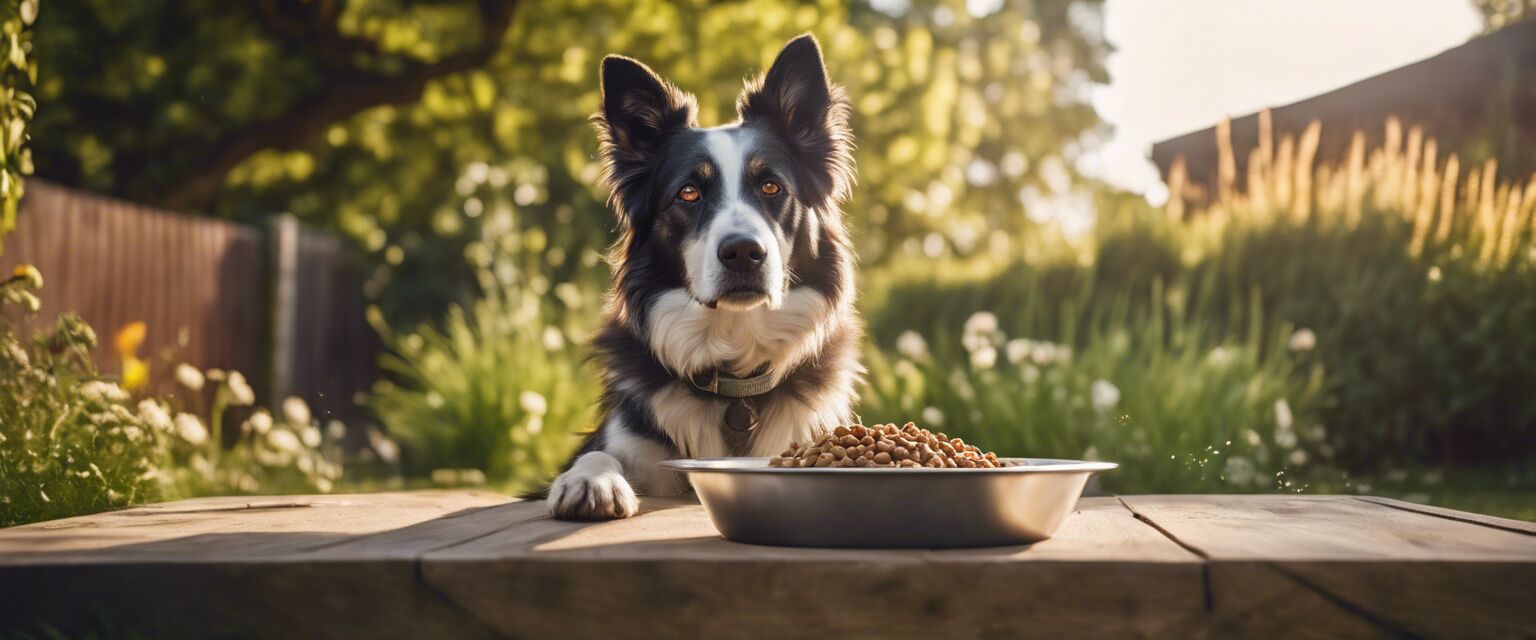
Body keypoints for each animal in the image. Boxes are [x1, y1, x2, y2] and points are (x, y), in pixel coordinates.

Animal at [549, 34, 866, 518]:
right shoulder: (624, 435)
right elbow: (598, 452)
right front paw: (589, 482)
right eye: (689, 193)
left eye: (771, 186)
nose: (743, 254)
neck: (735, 377)